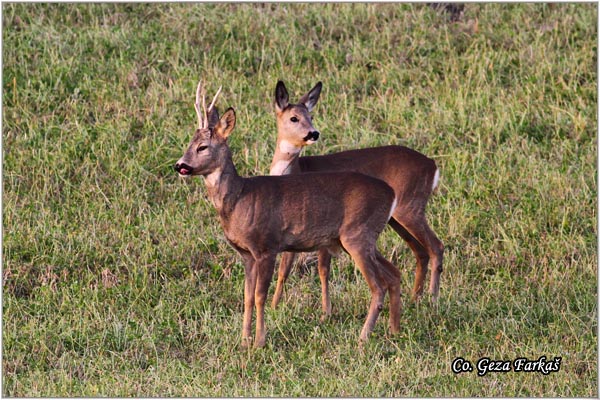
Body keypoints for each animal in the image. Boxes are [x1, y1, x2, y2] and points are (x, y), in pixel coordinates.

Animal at [176, 81, 406, 346]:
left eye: (202, 147)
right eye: (189, 143)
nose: (180, 165)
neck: (239, 198)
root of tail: (391, 194)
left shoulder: (266, 247)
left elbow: (260, 296)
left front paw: (259, 341)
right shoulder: (246, 254)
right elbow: (246, 296)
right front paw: (244, 340)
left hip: (357, 234)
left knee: (377, 286)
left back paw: (363, 337)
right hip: (364, 238)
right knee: (393, 274)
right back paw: (394, 330)